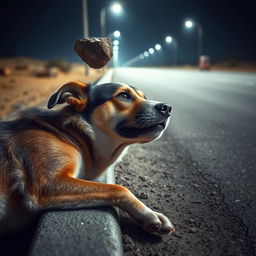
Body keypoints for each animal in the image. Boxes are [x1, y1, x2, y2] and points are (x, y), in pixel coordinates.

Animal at [0, 81, 174, 236]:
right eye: (124, 95)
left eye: (144, 97)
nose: (167, 108)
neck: (73, 134)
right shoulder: (47, 183)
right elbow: (119, 189)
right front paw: (149, 214)